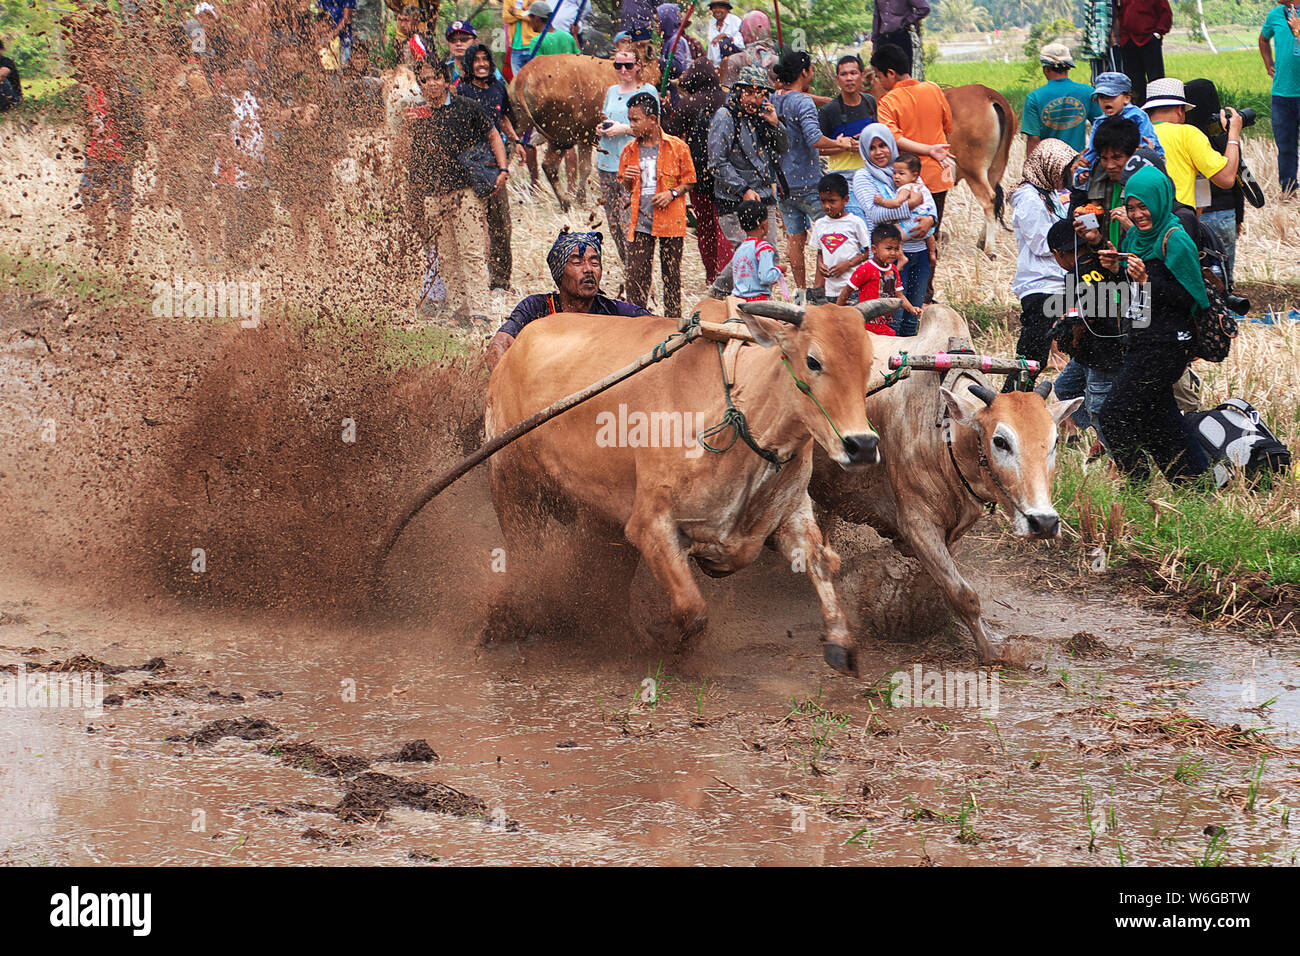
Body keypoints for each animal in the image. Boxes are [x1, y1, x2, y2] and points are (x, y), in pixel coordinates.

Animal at [483, 297, 899, 671]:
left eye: (867, 364)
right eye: (813, 361)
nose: (862, 445)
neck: (743, 414)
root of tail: (513, 349)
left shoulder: (789, 514)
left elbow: (822, 562)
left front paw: (839, 641)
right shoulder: (650, 524)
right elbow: (692, 607)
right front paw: (665, 642)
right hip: (511, 482)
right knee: (523, 555)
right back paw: (507, 624)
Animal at [811, 306, 1076, 665]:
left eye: (1055, 441)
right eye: (1000, 441)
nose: (1044, 522)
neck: (946, 434)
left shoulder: (955, 526)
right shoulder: (917, 523)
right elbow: (962, 593)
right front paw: (989, 650)